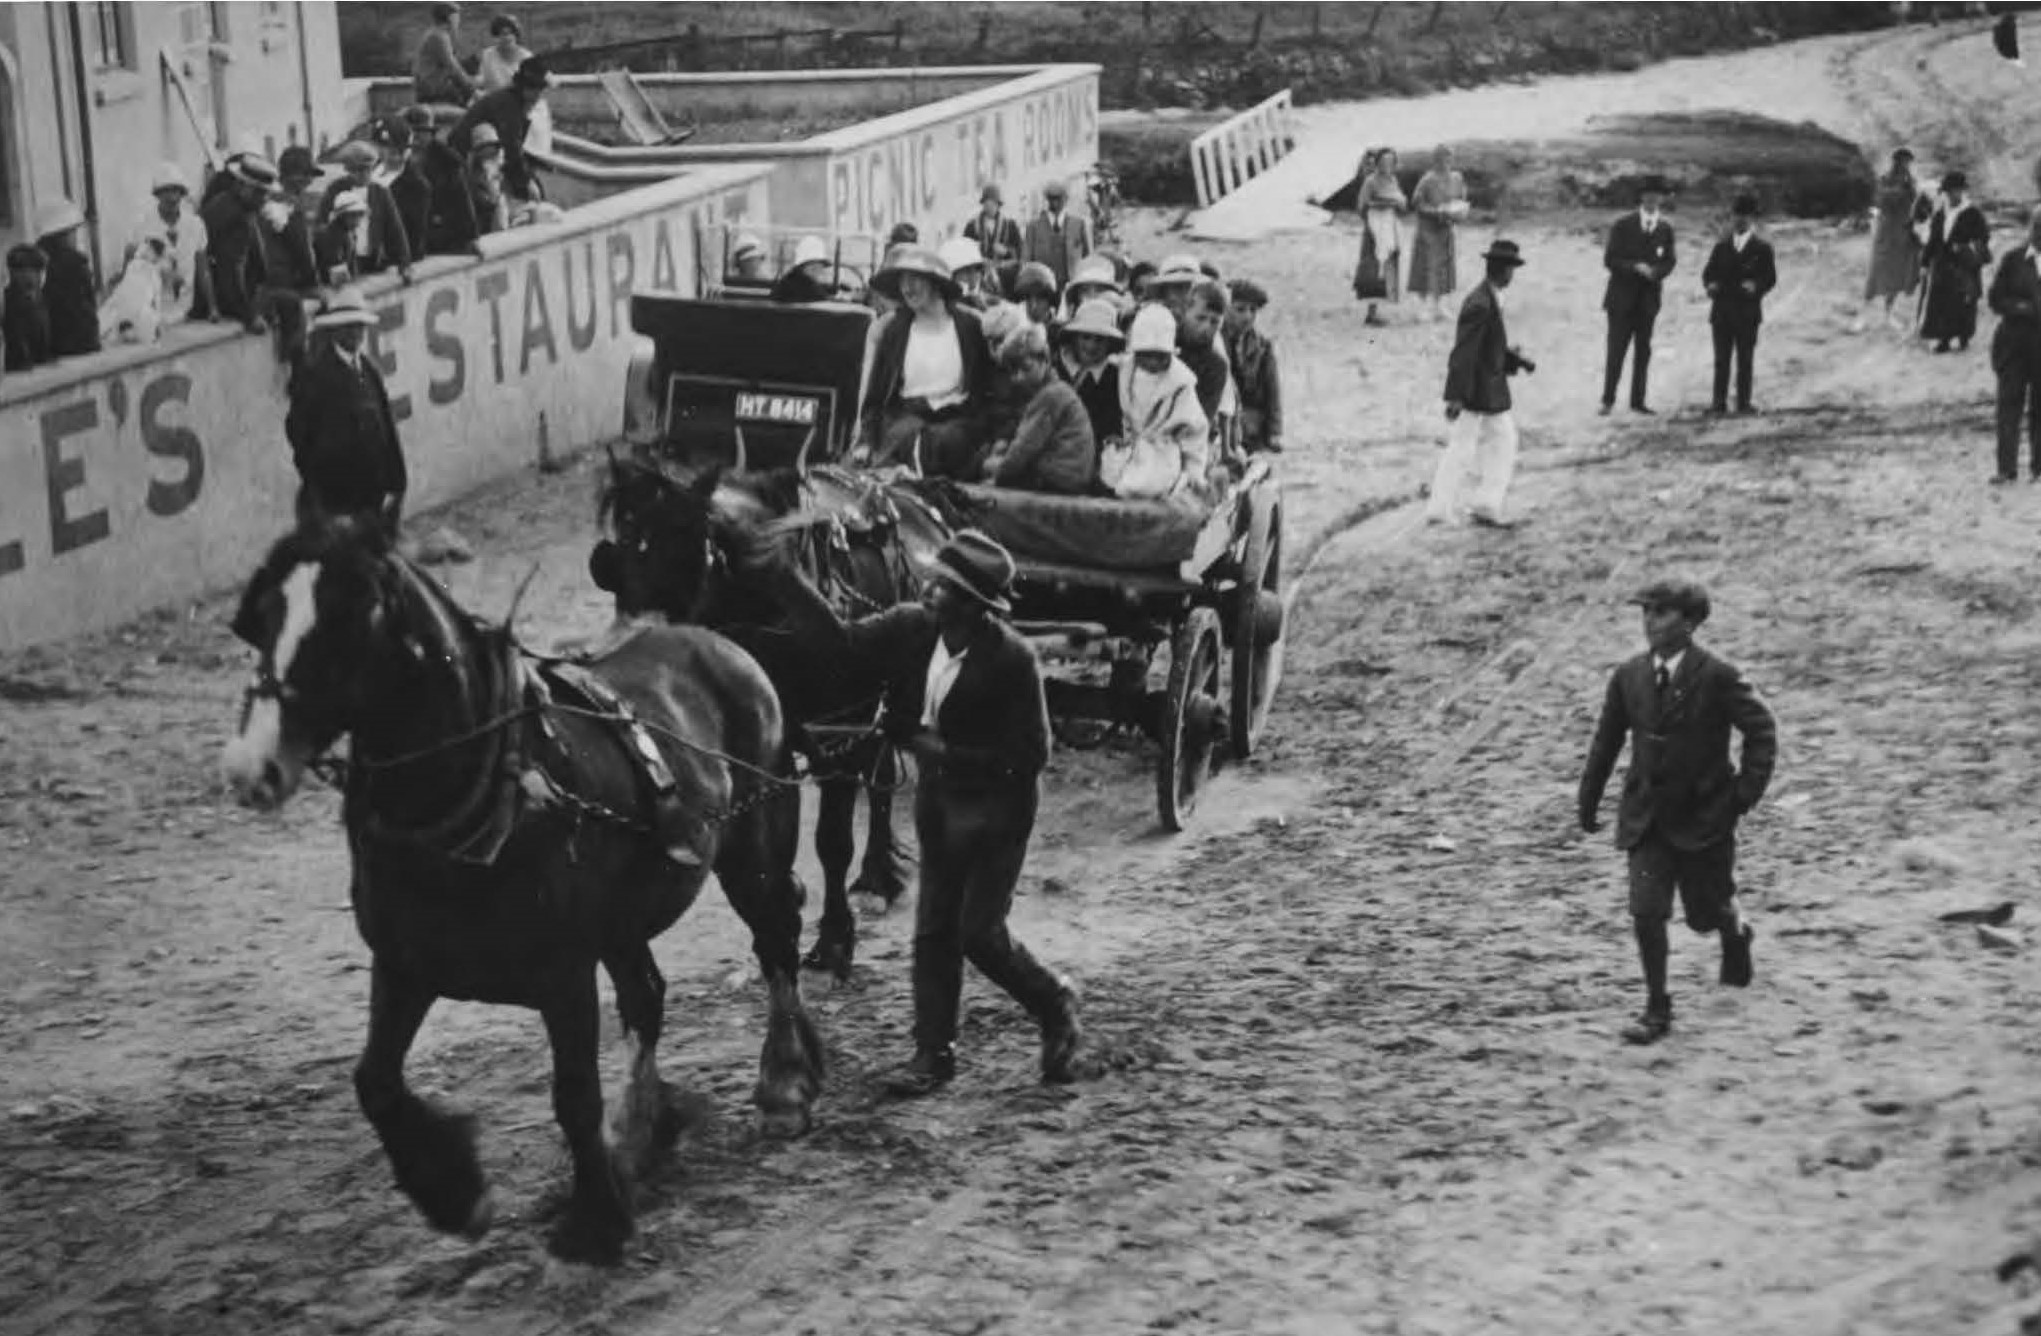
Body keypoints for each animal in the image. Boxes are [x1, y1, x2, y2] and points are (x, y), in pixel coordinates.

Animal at [223, 520, 820, 1264]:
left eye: (348, 617)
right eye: (259, 618)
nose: (251, 767)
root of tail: (719, 644)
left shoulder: (562, 974)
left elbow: (573, 1095)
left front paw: (595, 1220)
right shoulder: (404, 965)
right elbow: (375, 1083)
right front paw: (454, 1193)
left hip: (753, 850)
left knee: (775, 940)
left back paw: (784, 1082)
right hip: (621, 921)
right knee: (647, 996)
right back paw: (640, 1133)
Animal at [583, 460, 947, 983]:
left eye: (691, 544)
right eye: (623, 548)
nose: (644, 636)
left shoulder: (838, 732)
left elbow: (831, 841)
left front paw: (833, 941)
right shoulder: (769, 739)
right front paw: (786, 900)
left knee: (877, 773)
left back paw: (877, 877)